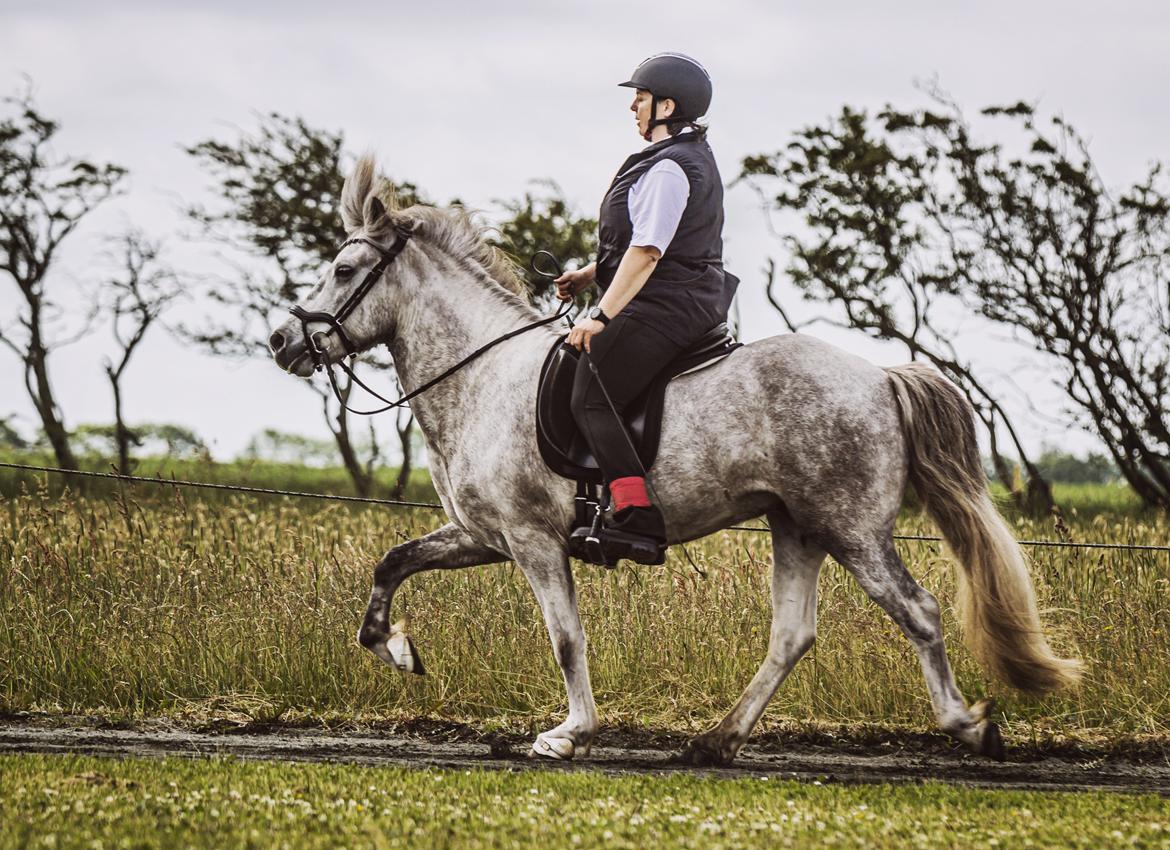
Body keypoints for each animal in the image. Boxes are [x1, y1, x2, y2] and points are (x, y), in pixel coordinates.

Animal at [269, 156, 1081, 768]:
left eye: (345, 270)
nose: (282, 341)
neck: (482, 375)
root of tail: (881, 375)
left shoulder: (533, 542)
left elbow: (565, 637)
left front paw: (569, 734)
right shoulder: (483, 536)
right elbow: (393, 561)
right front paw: (396, 650)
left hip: (852, 531)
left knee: (917, 611)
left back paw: (970, 726)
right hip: (797, 528)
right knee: (792, 635)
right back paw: (715, 742)